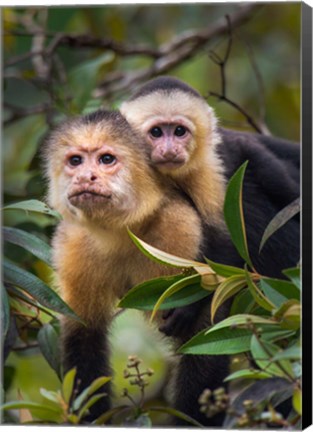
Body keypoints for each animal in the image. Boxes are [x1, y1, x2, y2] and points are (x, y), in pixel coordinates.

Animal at [40, 109, 217, 424]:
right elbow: (84, 337)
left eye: (107, 159)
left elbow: (201, 338)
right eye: (76, 161)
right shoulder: (72, 242)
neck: (122, 231)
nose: (85, 176)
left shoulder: (180, 229)